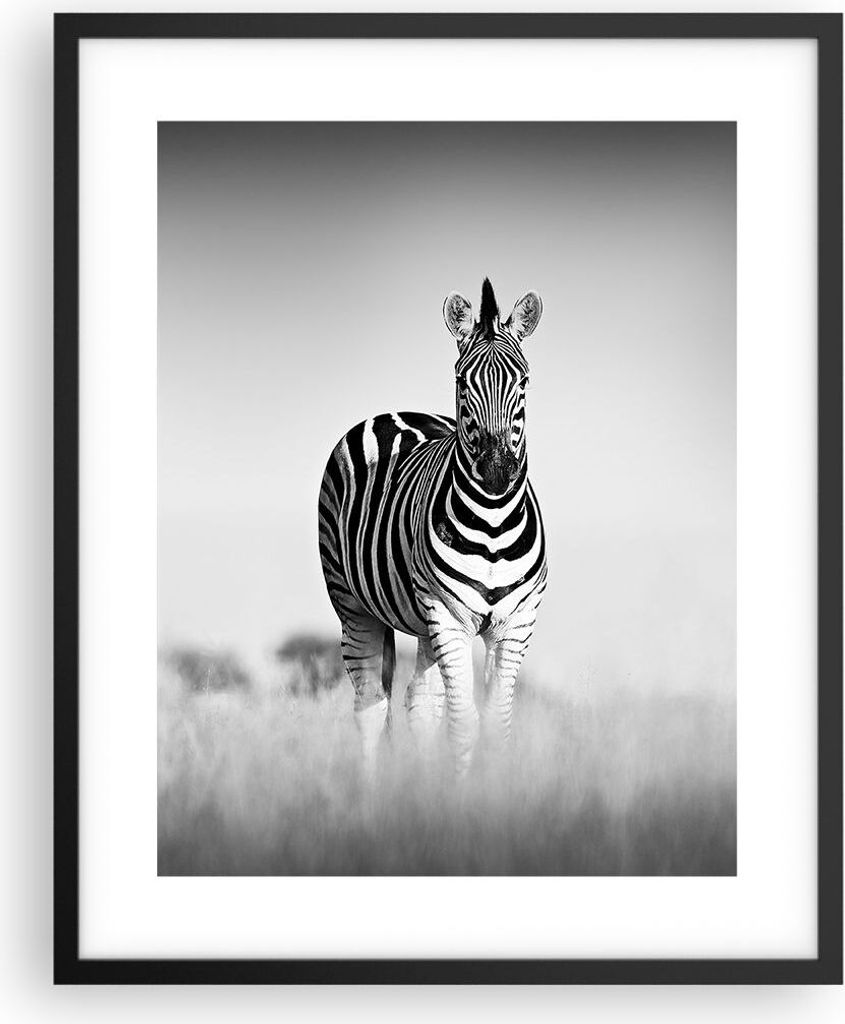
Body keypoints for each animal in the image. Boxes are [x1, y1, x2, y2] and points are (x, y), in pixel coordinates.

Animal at [317, 279, 547, 775]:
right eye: (462, 381)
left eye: (523, 381)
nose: (497, 472)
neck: (493, 523)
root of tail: (395, 412)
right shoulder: (448, 615)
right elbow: (463, 722)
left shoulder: (515, 623)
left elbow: (496, 722)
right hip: (353, 605)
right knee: (370, 704)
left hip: (423, 623)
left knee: (420, 704)